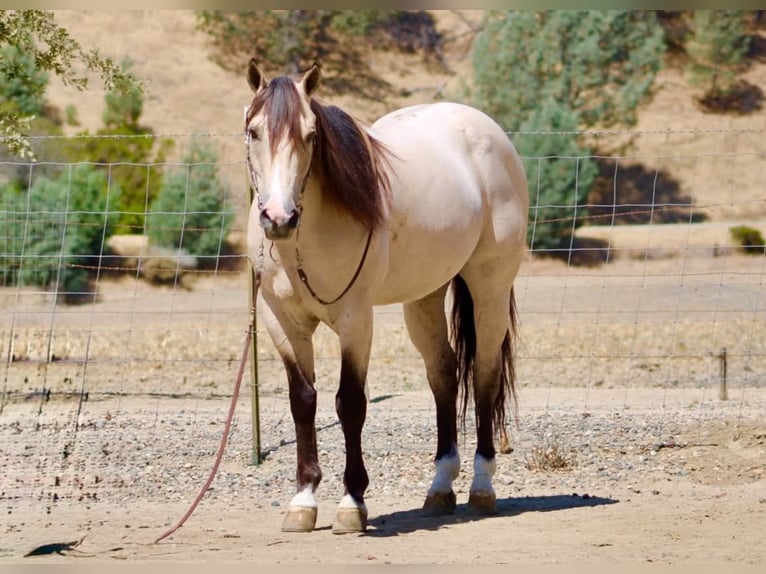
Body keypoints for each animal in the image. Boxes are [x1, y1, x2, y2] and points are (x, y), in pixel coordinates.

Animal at [244, 60, 529, 534]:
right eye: (253, 131)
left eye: (311, 135)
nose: (280, 218)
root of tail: (486, 129)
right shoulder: (281, 321)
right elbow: (303, 402)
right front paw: (303, 501)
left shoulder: (355, 320)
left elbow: (350, 403)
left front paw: (352, 502)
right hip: (424, 298)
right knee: (444, 375)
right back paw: (440, 488)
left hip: (489, 288)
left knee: (484, 376)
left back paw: (482, 486)